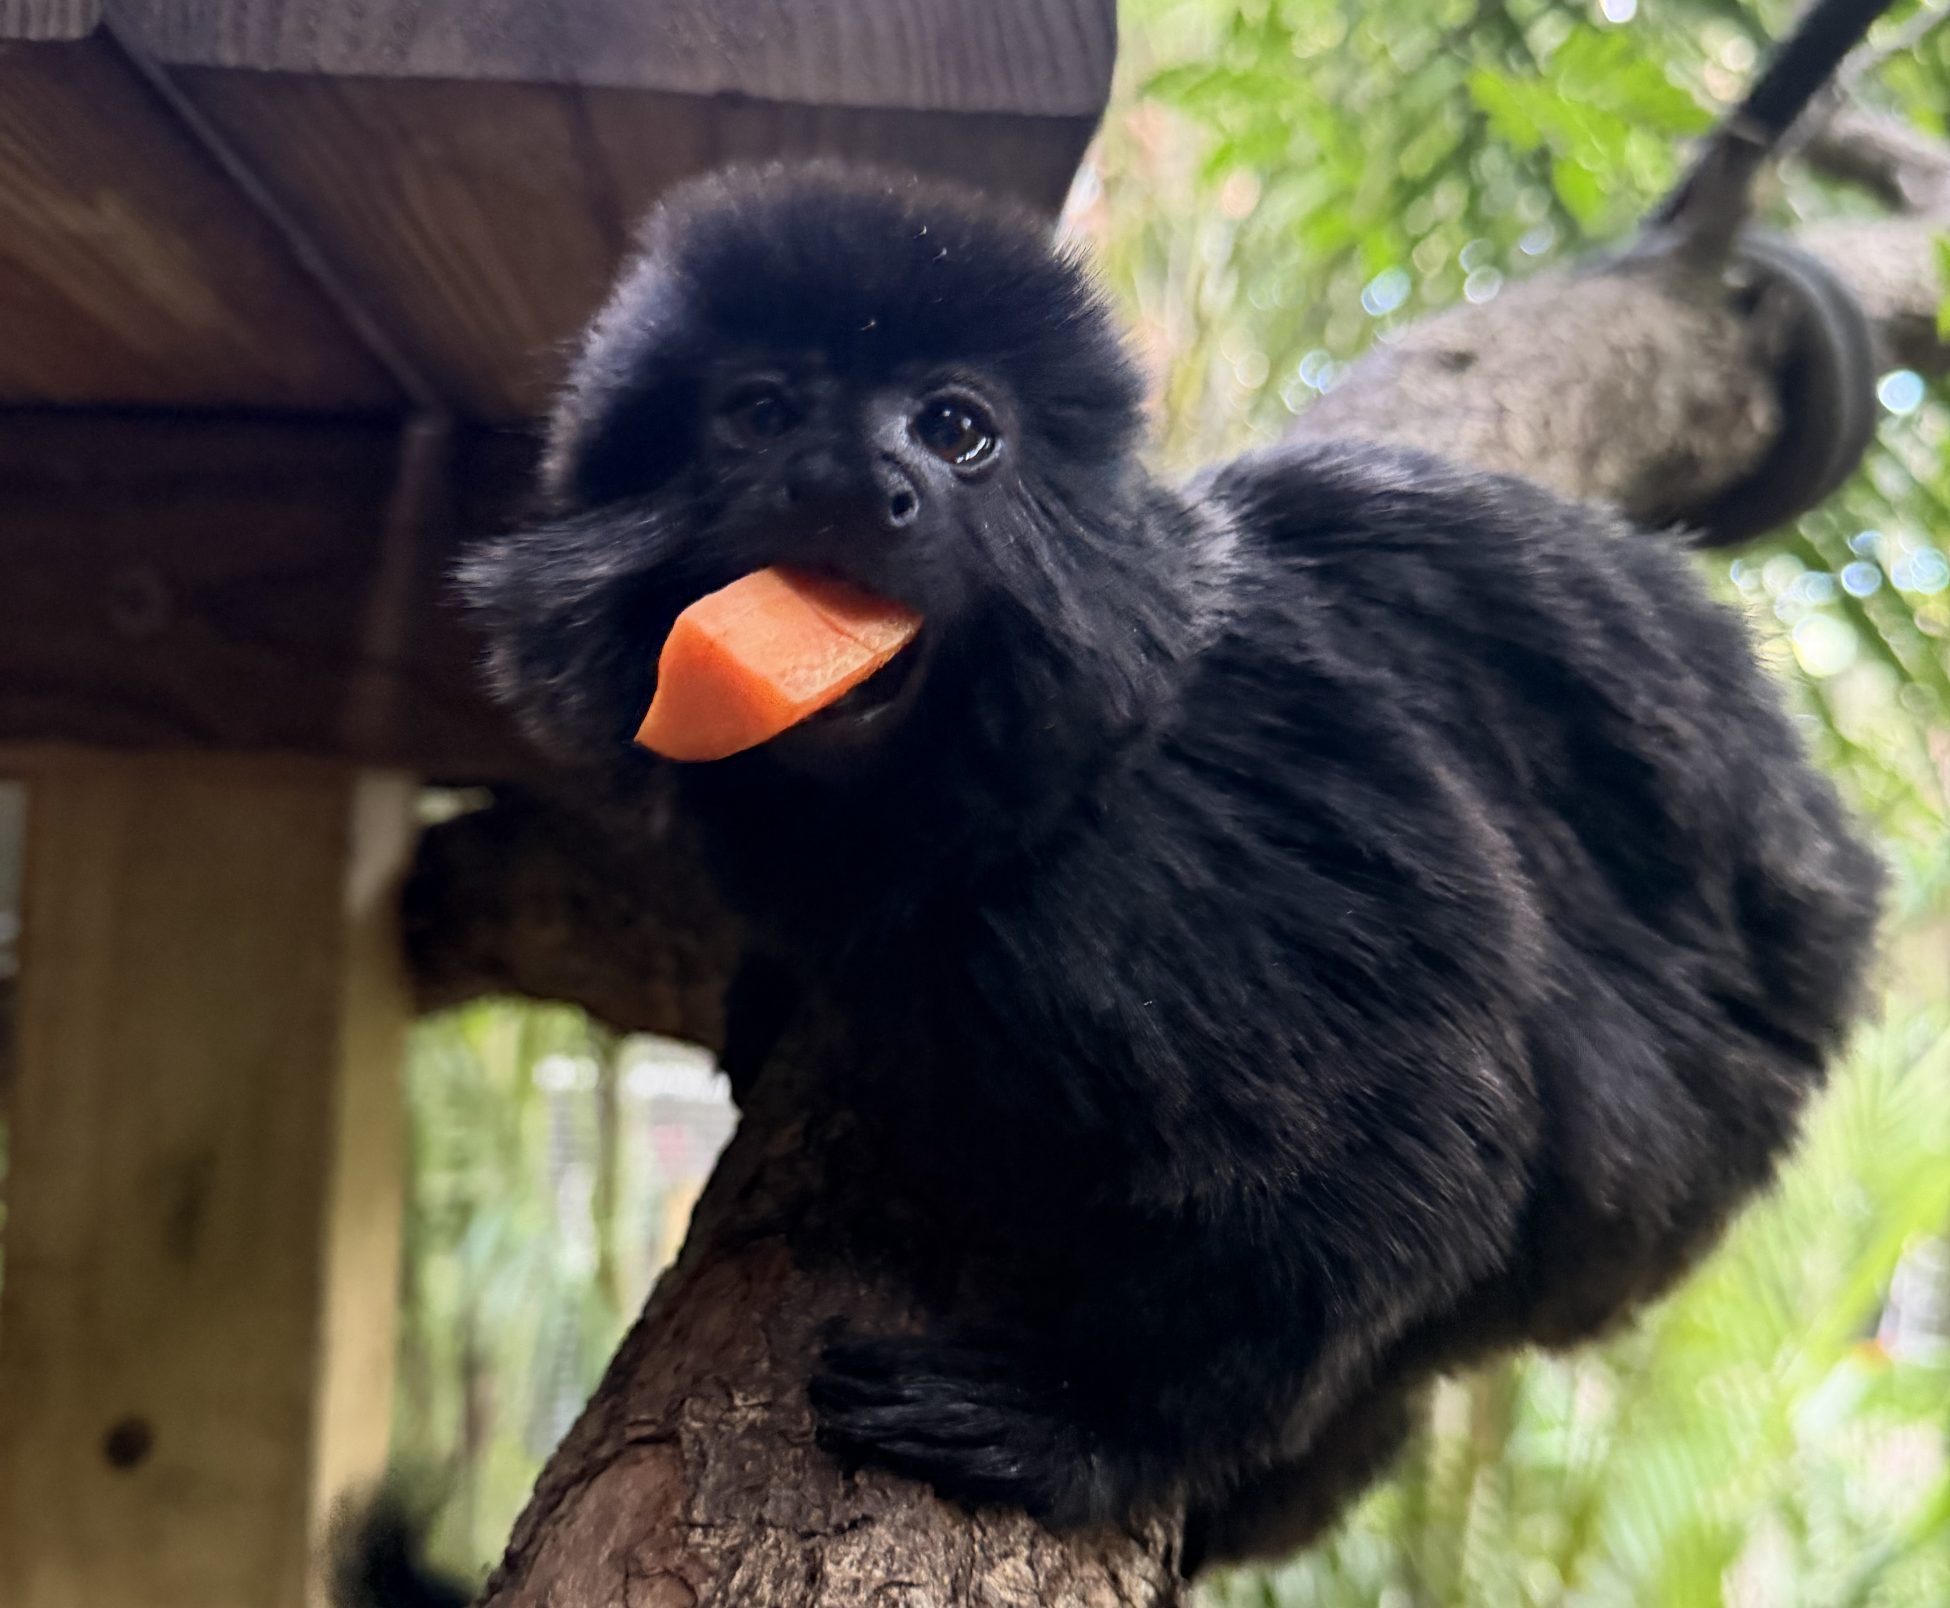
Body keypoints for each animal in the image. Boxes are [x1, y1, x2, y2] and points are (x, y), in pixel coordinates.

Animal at [440, 158, 1883, 1572]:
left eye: (957, 432)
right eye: (758, 412)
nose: (854, 483)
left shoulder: (1176, 851)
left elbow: (1411, 1130)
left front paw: (1088, 1426)